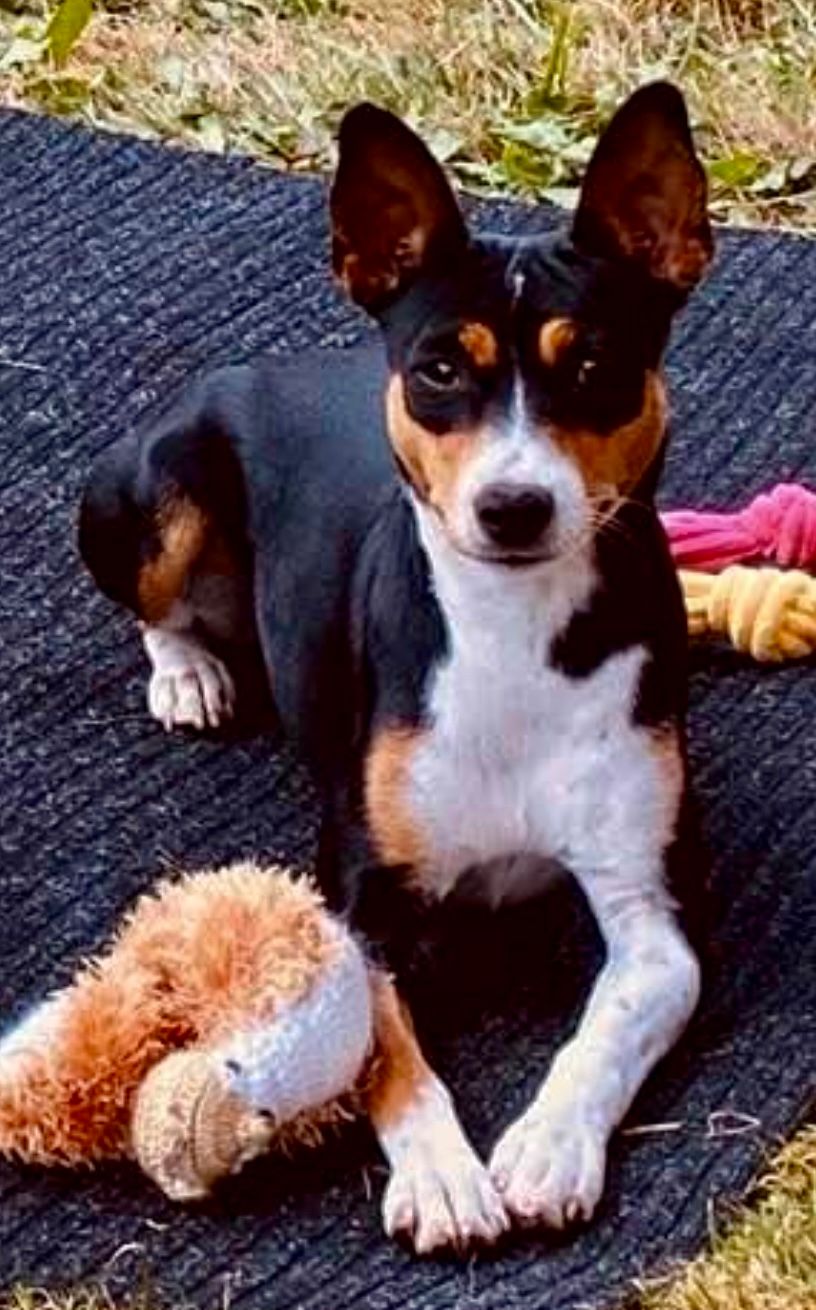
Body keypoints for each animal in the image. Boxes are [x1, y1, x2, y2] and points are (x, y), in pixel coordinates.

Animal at [79, 81, 713, 1255]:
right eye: (441, 369)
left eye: (594, 366)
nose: (514, 505)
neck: (514, 632)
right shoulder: (361, 901)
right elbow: (387, 1049)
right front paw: (443, 1174)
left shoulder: (652, 909)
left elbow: (604, 1031)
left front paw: (548, 1145)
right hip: (150, 493)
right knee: (156, 605)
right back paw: (189, 672)